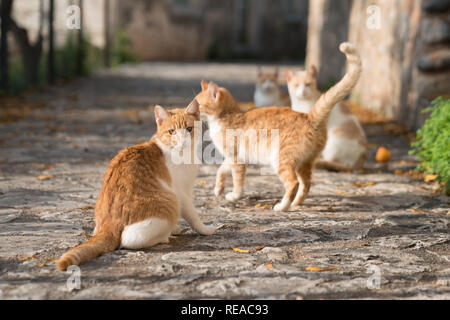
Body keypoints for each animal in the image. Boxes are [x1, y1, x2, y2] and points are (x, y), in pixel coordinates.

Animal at [56, 100, 214, 270]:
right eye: (172, 132)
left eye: (189, 129)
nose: (183, 141)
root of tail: (109, 224)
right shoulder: (182, 193)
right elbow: (193, 216)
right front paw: (205, 230)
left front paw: (177, 228)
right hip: (170, 202)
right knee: (128, 240)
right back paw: (163, 237)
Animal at [196, 43, 362, 212]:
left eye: (198, 105)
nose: (190, 111)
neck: (226, 116)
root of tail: (309, 116)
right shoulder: (231, 158)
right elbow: (220, 171)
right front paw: (218, 189)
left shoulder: (237, 159)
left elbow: (237, 181)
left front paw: (234, 196)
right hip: (304, 163)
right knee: (306, 184)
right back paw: (295, 203)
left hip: (280, 160)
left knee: (293, 183)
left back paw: (283, 206)